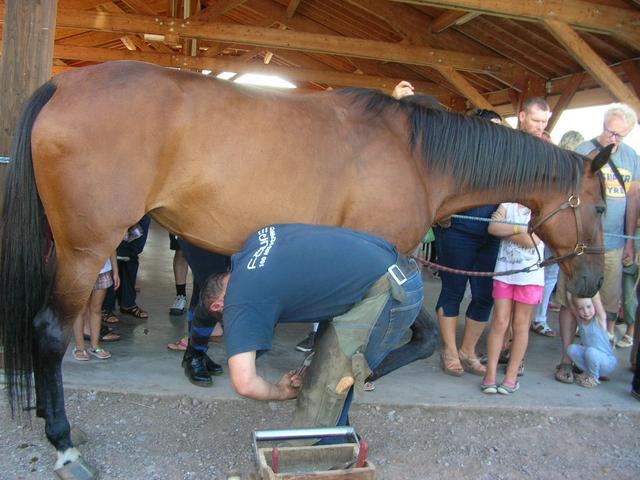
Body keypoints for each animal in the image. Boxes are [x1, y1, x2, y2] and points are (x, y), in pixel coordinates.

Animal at [0, 61, 609, 478]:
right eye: (603, 206)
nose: (591, 285)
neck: (416, 156)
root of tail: (63, 85)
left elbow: (373, 343)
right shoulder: (392, 270)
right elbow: (410, 340)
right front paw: (347, 392)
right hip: (85, 251)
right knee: (50, 332)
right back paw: (63, 443)